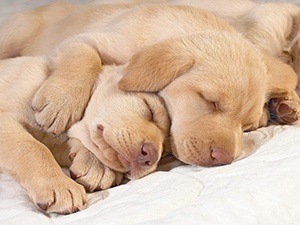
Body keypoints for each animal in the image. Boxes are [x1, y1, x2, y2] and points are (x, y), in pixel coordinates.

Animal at [0, 2, 298, 167]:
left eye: (246, 126)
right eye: (209, 101)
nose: (224, 159)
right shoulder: (82, 40)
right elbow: (83, 57)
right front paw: (61, 103)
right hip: (13, 33)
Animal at [0, 55, 170, 213]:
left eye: (166, 154)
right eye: (150, 110)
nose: (151, 157)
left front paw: (96, 165)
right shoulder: (5, 120)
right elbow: (33, 147)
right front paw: (59, 184)